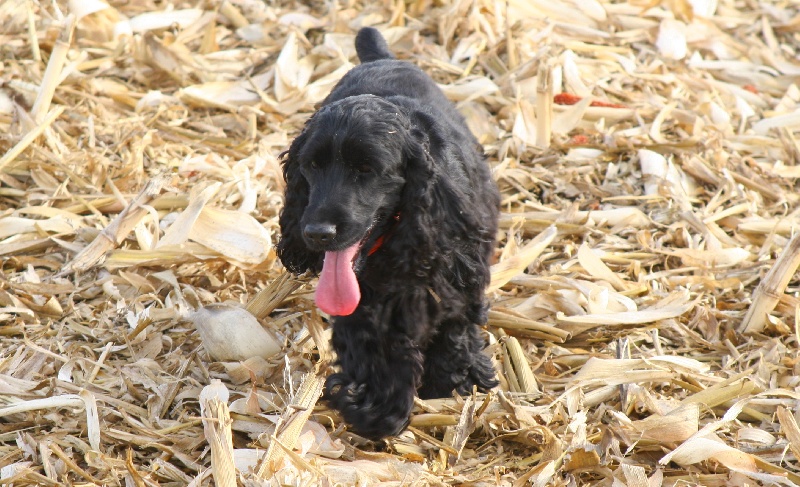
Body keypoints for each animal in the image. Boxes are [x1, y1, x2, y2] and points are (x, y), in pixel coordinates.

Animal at [278, 26, 496, 440]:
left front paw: (456, 379)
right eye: (311, 165)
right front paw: (375, 406)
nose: (316, 232)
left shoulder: (461, 271)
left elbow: (458, 325)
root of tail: (381, 57)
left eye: (366, 169)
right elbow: (371, 344)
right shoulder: (365, 305)